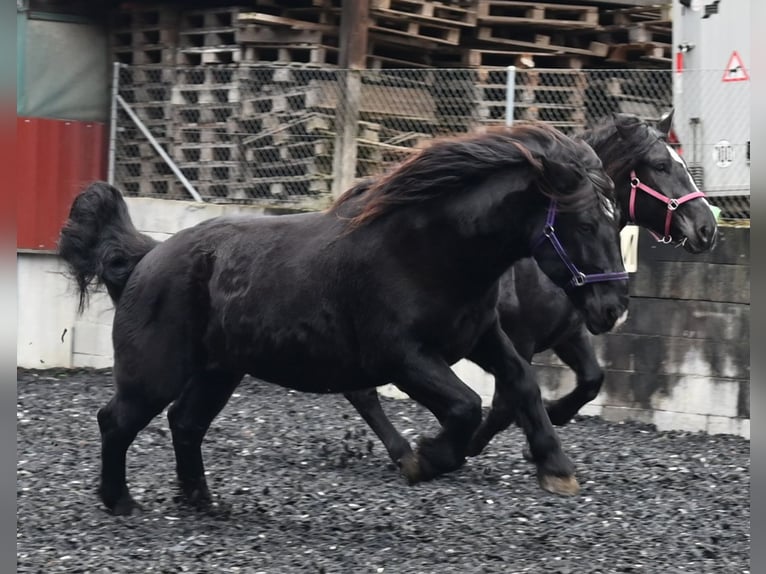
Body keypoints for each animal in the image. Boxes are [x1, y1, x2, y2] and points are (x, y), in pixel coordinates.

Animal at [61, 122, 632, 516]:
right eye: (584, 223)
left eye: (617, 222)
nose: (614, 305)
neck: (426, 251)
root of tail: (148, 257)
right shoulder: (402, 356)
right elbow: (466, 406)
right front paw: (424, 458)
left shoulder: (481, 336)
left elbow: (522, 384)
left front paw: (556, 468)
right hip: (157, 371)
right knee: (117, 420)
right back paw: (119, 500)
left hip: (220, 369)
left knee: (185, 422)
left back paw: (201, 499)